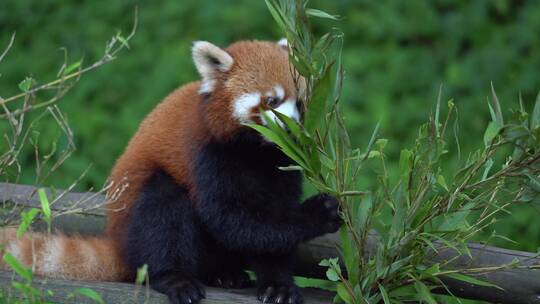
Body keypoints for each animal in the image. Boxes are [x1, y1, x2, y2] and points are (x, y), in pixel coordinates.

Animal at [2, 40, 342, 304]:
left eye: (302, 103)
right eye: (272, 101)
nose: (294, 130)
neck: (256, 153)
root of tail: (118, 241)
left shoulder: (282, 165)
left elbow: (269, 231)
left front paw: (278, 284)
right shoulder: (207, 155)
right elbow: (235, 217)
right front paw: (317, 214)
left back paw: (224, 273)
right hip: (142, 209)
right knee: (162, 210)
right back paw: (175, 277)